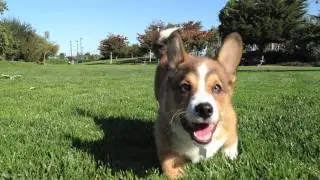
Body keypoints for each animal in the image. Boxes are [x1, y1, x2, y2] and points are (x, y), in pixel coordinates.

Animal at [153, 27, 242, 179]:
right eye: (185, 87)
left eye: (216, 87)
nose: (204, 109)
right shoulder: (164, 138)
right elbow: (168, 165)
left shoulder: (231, 124)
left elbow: (230, 147)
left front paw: (230, 157)